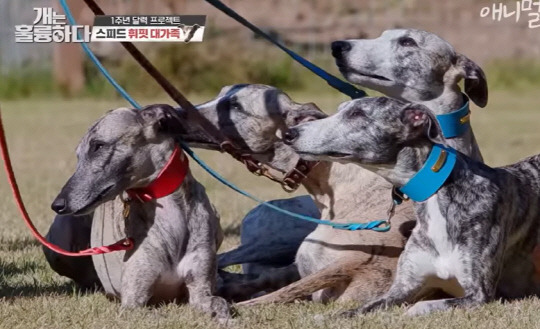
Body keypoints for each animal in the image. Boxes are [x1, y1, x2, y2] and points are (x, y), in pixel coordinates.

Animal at [48, 104, 230, 320]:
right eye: (78, 155)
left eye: (98, 146)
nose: (58, 205)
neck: (170, 215)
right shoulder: (133, 302)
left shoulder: (200, 290)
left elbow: (219, 302)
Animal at [286, 96, 540, 316]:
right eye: (341, 110)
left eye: (357, 114)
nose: (289, 133)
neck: (437, 195)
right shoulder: (402, 288)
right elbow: (360, 309)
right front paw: (328, 317)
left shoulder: (479, 294)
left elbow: (423, 305)